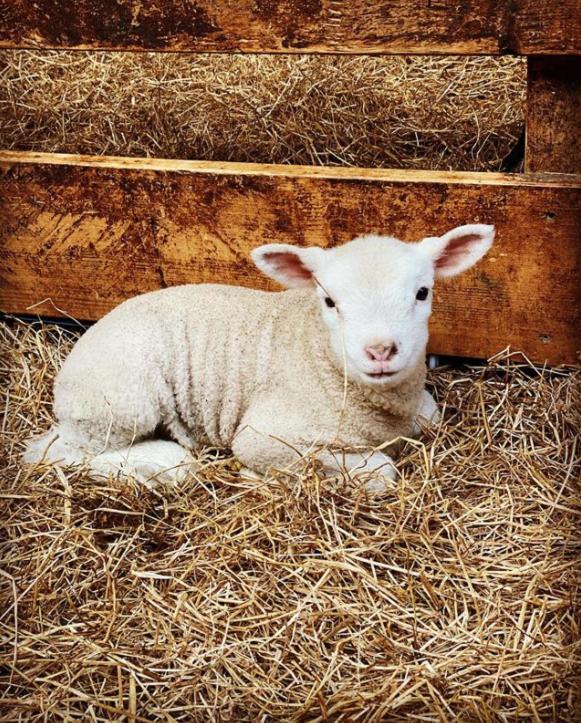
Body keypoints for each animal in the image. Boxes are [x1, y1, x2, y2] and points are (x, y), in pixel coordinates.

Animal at [23, 222, 494, 492]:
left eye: (422, 292)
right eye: (329, 301)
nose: (380, 350)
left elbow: (431, 416)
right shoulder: (263, 436)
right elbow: (380, 471)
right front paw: (259, 476)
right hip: (119, 401)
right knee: (55, 453)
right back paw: (165, 463)